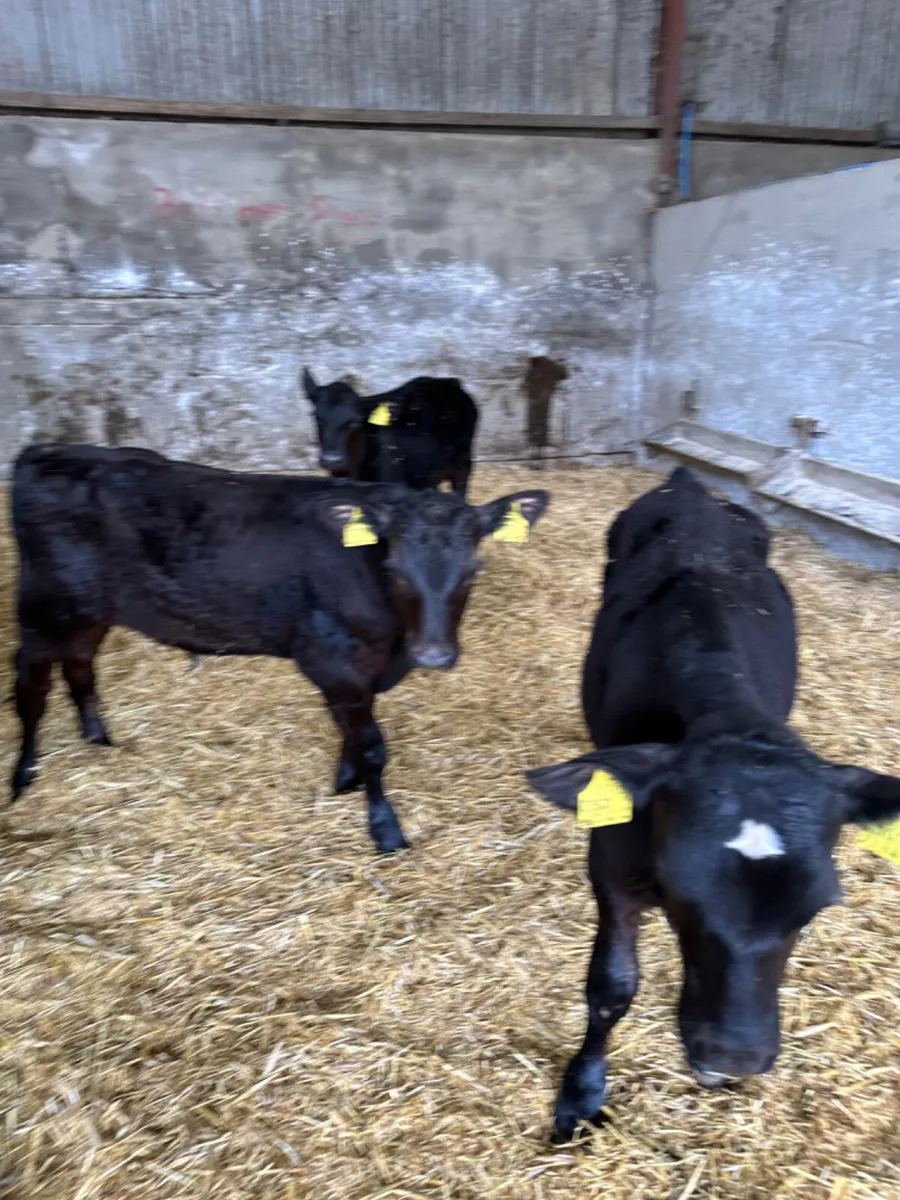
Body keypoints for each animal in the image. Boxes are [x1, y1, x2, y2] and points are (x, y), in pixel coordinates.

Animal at [10, 443, 549, 853]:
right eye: (395, 569)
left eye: (473, 571)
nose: (433, 656)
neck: (394, 644)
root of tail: (49, 450)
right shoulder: (333, 660)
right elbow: (371, 745)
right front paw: (384, 828)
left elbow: (352, 732)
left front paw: (344, 783)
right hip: (43, 605)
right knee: (31, 684)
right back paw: (23, 775)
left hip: (90, 610)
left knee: (79, 663)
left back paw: (97, 738)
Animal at [526, 466, 900, 1141]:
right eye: (679, 890)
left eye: (819, 904)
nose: (736, 1056)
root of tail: (689, 483)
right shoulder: (611, 864)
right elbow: (611, 988)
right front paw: (581, 1092)